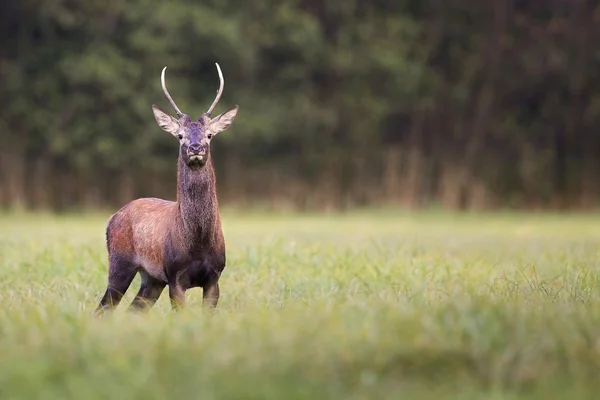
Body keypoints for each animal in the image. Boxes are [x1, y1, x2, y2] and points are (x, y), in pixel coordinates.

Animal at [95, 62, 238, 314]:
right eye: (180, 135)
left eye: (210, 134)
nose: (195, 148)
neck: (198, 244)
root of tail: (112, 217)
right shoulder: (174, 275)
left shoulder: (215, 277)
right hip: (120, 261)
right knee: (103, 308)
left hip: (151, 278)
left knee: (134, 308)